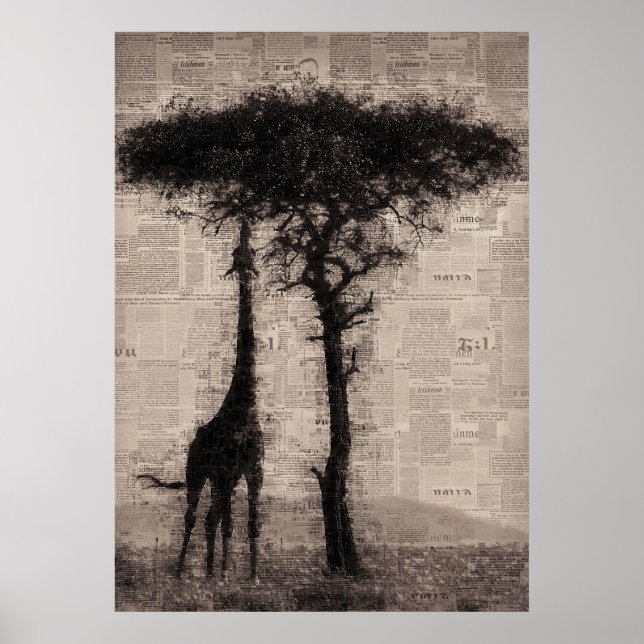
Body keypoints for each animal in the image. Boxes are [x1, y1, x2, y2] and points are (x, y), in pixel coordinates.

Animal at [140, 217, 264, 581]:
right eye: (236, 253)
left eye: (253, 251)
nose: (245, 268)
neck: (245, 408)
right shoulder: (224, 470)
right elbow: (228, 525)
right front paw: (224, 576)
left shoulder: (253, 470)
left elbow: (251, 524)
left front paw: (252, 576)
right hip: (197, 472)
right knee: (194, 517)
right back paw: (184, 571)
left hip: (222, 479)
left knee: (211, 518)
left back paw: (208, 572)